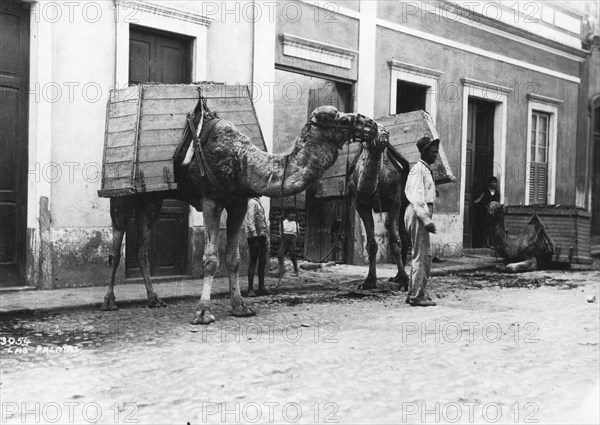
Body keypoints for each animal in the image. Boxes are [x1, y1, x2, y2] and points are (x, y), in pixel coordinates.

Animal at [102, 104, 380, 322]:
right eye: (340, 118)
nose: (372, 125)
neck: (243, 162)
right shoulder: (211, 200)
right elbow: (210, 258)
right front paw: (203, 312)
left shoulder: (238, 203)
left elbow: (234, 259)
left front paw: (240, 306)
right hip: (122, 198)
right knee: (115, 250)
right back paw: (109, 301)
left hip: (152, 200)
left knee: (142, 248)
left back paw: (154, 299)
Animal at [346, 130, 412, 288]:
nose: (384, 135)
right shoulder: (361, 205)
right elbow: (371, 244)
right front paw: (369, 280)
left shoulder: (394, 202)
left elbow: (395, 241)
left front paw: (404, 279)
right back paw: (395, 276)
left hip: (403, 203)